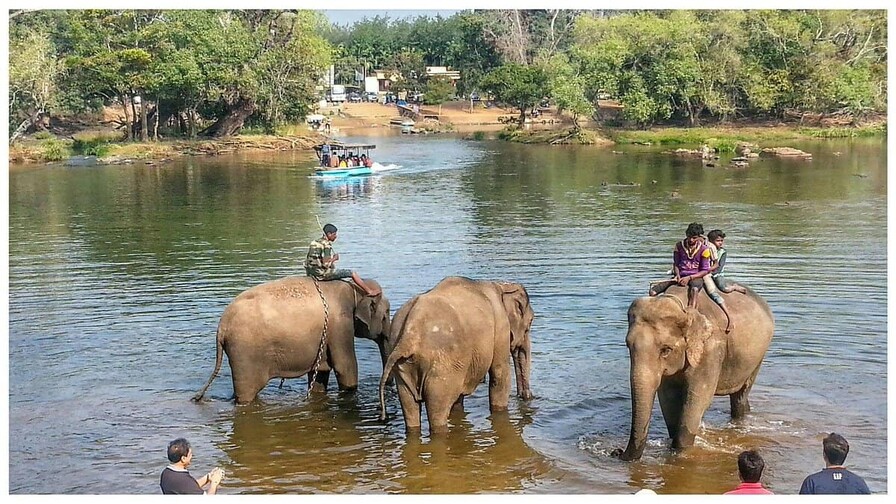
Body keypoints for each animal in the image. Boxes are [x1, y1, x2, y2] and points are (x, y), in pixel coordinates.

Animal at [192, 276, 390, 404]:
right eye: (386, 315)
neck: (354, 288)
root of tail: (222, 326)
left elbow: (320, 374)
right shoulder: (341, 325)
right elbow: (345, 367)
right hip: (244, 354)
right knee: (246, 394)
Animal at [378, 276, 534, 434]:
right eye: (530, 322)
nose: (526, 397)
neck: (500, 286)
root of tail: (410, 331)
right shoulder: (501, 326)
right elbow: (500, 374)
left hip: (403, 365)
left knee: (409, 407)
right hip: (442, 369)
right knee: (438, 412)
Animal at [615, 285, 774, 461]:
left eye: (666, 350)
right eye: (628, 345)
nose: (617, 452)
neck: (683, 307)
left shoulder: (710, 350)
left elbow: (698, 397)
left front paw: (680, 452)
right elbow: (668, 398)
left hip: (758, 357)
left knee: (741, 394)